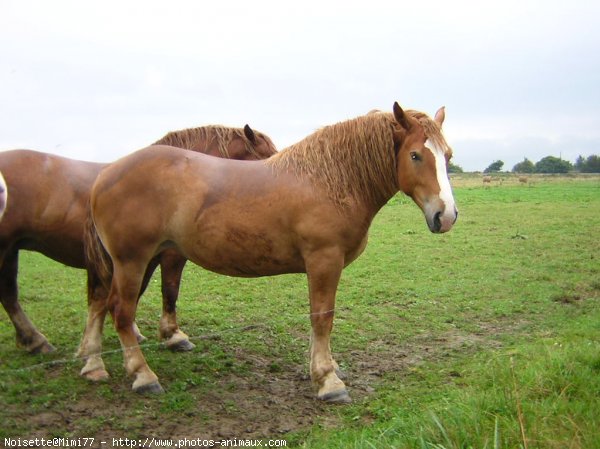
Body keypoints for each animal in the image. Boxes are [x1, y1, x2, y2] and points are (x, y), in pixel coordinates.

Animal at [0, 123, 276, 354]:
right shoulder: (169, 255)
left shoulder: (143, 258)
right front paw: (173, 335)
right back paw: (35, 340)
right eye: (268, 158)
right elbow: (169, 290)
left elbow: (138, 292)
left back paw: (31, 340)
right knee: (9, 294)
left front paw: (135, 331)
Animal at [82, 102, 458, 402]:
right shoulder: (324, 260)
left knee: (102, 303)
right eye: (415, 155)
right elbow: (322, 318)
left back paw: (93, 362)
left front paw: (321, 368)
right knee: (121, 311)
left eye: (448, 156)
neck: (329, 180)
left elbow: (317, 319)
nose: (446, 215)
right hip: (132, 261)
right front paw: (328, 380)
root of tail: (105, 174)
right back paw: (142, 375)